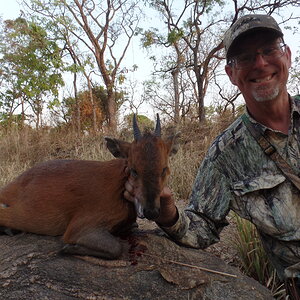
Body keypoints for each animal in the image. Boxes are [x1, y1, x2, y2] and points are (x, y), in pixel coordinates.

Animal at [0, 113, 178, 258]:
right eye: (133, 170)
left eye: (164, 169)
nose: (151, 211)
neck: (119, 187)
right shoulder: (78, 227)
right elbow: (115, 248)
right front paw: (67, 249)